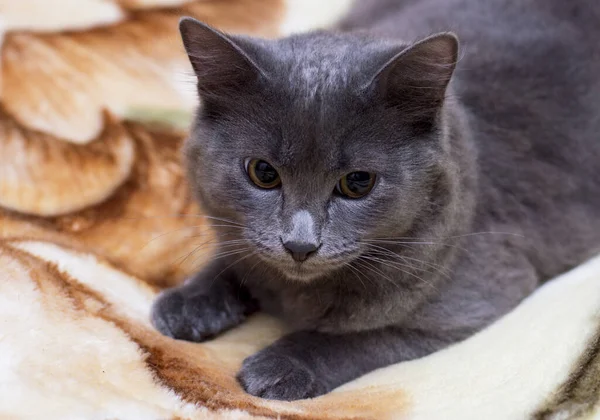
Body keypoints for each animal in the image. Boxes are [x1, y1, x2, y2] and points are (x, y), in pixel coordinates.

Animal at [150, 0, 600, 400]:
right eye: (263, 173)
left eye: (357, 183)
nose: (300, 244)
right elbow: (239, 255)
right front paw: (189, 301)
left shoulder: (474, 297)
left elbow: (365, 337)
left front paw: (283, 366)